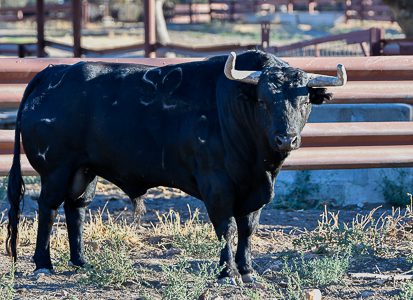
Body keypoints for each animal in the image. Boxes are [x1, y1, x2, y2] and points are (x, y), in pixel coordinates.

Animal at [6, 50, 334, 282]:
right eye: (264, 101)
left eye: (304, 101)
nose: (286, 138)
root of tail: (54, 71)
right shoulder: (217, 186)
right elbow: (227, 228)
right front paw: (228, 272)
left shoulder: (254, 190)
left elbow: (248, 228)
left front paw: (247, 270)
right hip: (56, 171)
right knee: (48, 209)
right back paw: (43, 265)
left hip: (84, 171)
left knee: (76, 209)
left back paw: (81, 262)